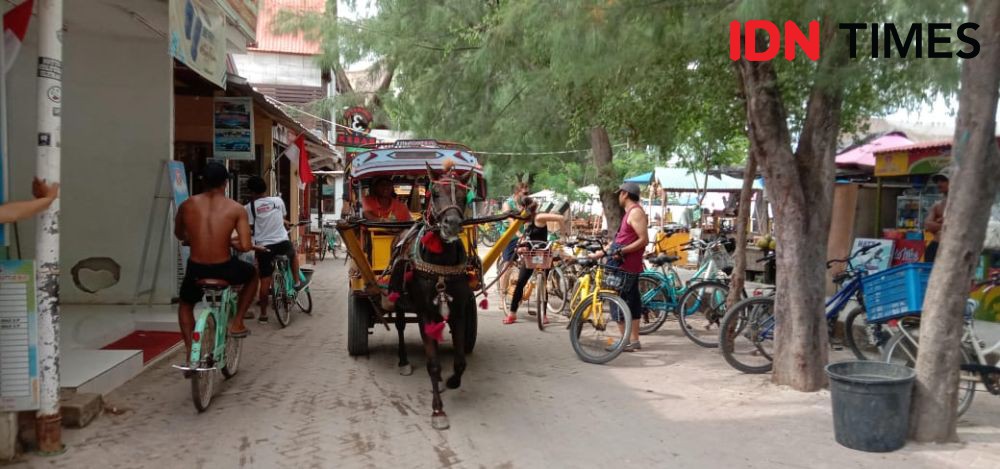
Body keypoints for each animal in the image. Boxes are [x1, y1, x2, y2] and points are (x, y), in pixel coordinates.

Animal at [394, 161, 476, 428]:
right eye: (436, 193)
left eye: (462, 195)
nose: (452, 224)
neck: (440, 259)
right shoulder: (425, 314)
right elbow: (433, 364)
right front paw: (438, 410)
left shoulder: (459, 311)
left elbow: (460, 361)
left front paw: (451, 381)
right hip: (398, 301)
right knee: (400, 327)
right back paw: (403, 361)